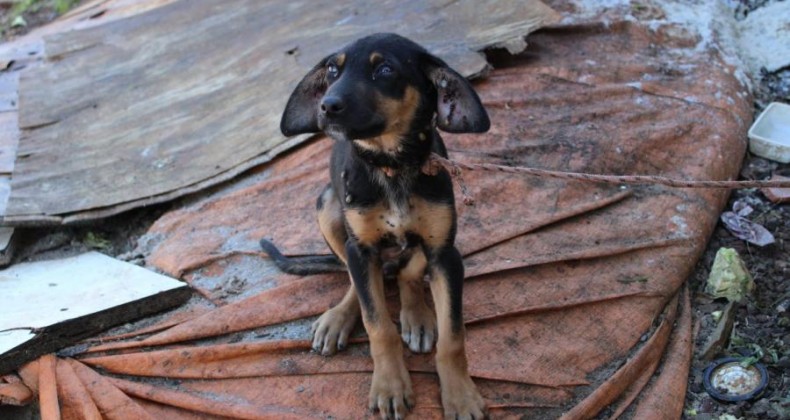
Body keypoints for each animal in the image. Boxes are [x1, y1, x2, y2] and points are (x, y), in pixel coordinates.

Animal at [264, 33, 488, 420]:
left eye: (384, 70)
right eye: (332, 70)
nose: (326, 105)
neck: (391, 164)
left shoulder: (445, 253)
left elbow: (453, 336)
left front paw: (460, 395)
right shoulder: (361, 247)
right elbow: (378, 324)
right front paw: (389, 385)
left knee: (406, 271)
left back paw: (417, 316)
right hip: (328, 207)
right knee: (359, 279)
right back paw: (338, 318)